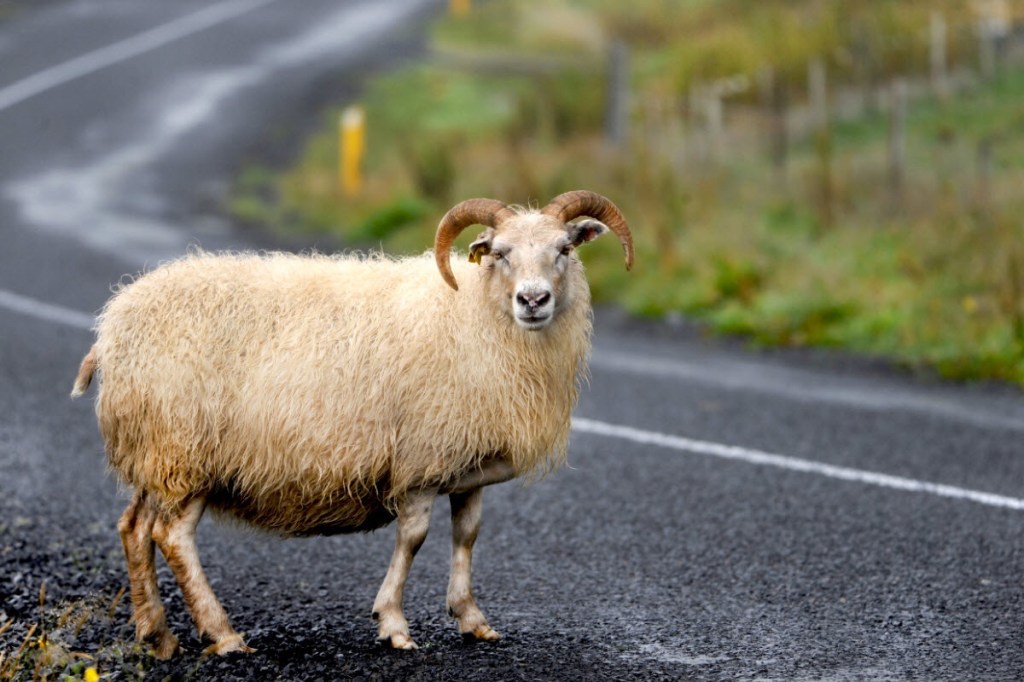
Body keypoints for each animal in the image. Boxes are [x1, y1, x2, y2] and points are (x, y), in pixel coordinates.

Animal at [70, 190, 633, 658]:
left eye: (564, 249)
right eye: (499, 252)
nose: (533, 301)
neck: (476, 314)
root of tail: (113, 327)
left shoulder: (466, 466)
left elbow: (467, 537)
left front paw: (471, 618)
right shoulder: (420, 463)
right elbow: (414, 540)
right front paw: (394, 625)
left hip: (154, 454)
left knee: (134, 528)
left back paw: (157, 636)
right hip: (183, 449)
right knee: (171, 536)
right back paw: (223, 635)